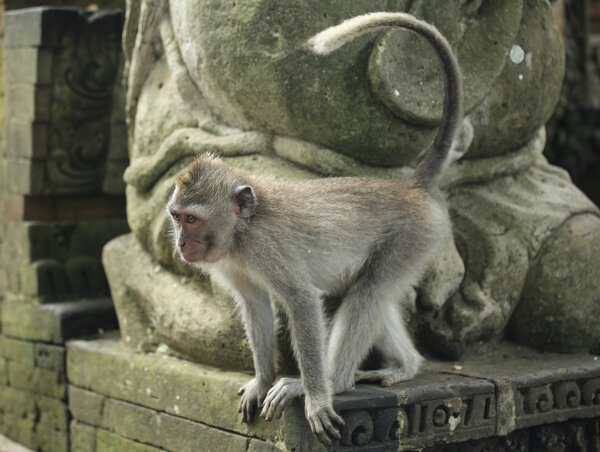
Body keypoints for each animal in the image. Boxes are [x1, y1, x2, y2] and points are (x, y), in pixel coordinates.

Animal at [166, 11, 466, 448]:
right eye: (176, 217)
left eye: (192, 219)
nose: (183, 244)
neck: (241, 232)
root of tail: (408, 187)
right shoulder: (229, 261)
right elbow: (255, 304)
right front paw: (262, 380)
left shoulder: (266, 247)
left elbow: (303, 302)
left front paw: (314, 397)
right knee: (372, 292)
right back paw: (405, 365)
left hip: (415, 237)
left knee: (368, 293)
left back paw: (335, 382)